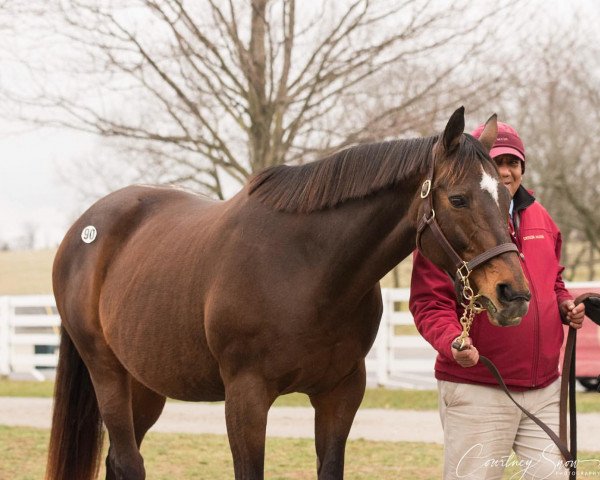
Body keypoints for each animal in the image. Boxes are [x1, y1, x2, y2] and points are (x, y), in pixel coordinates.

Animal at [45, 107, 528, 478]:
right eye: (459, 199)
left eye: (507, 198)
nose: (514, 294)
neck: (307, 269)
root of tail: (82, 230)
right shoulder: (246, 397)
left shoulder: (341, 393)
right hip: (107, 373)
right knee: (128, 461)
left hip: (145, 382)